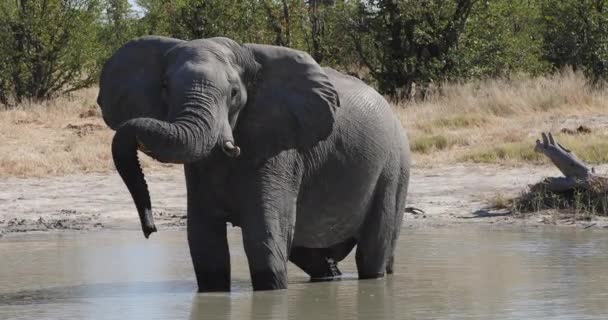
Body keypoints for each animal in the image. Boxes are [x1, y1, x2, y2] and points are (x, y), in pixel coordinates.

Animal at [97, 35, 410, 292]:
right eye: (164, 87)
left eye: (234, 93)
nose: (150, 230)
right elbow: (203, 238)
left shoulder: (280, 146)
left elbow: (263, 233)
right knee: (308, 253)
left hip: (394, 166)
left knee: (372, 251)